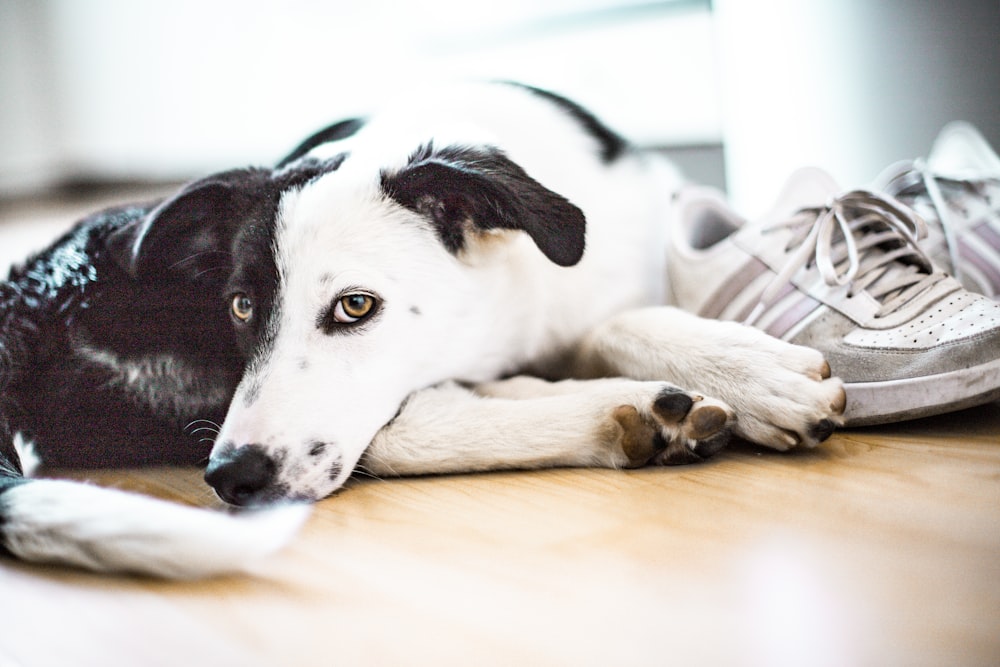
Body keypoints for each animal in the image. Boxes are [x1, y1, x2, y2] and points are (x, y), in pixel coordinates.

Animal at [0, 81, 844, 576]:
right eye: (240, 305)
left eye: (354, 305)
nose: (232, 476)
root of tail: (23, 300)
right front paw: (737, 373)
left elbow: (619, 316)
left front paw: (744, 367)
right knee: (404, 434)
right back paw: (621, 413)